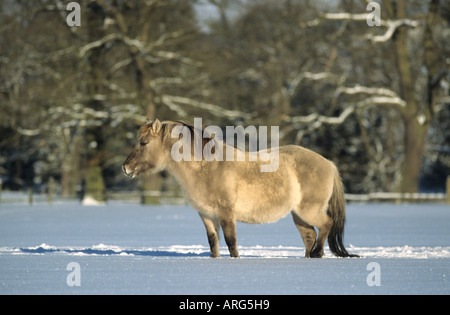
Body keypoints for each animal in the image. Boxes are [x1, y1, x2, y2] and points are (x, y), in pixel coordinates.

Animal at [123, 119, 358, 258]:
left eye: (143, 143)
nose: (126, 168)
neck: (207, 167)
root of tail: (328, 164)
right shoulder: (206, 215)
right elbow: (213, 242)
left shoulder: (226, 214)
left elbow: (231, 242)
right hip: (299, 215)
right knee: (309, 236)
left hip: (309, 211)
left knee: (326, 225)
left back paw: (318, 252)